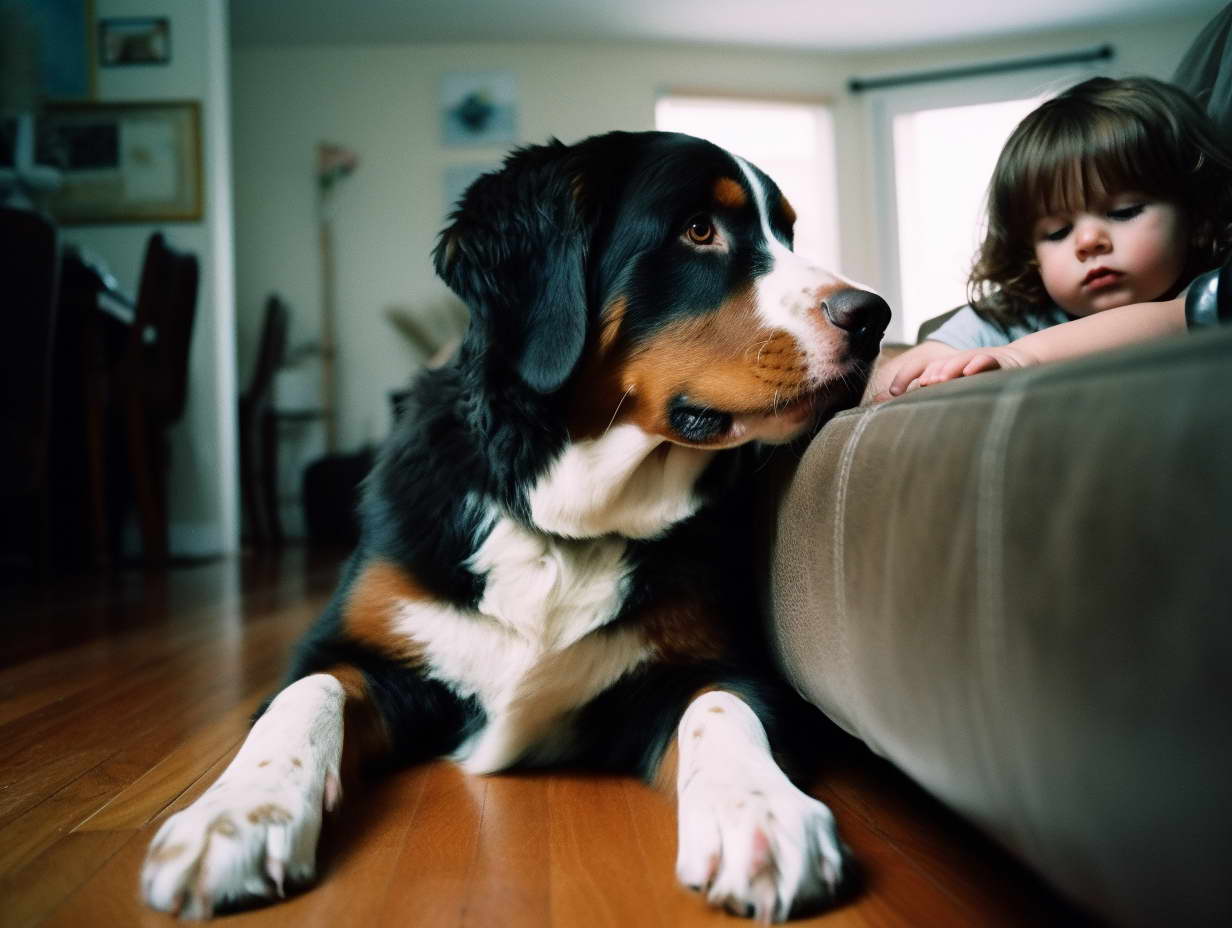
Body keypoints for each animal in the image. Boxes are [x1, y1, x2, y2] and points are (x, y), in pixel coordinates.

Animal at [141, 130, 887, 921]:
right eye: (697, 230)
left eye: (789, 235)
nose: (874, 316)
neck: (561, 519)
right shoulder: (352, 647)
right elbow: (304, 697)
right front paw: (234, 815)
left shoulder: (715, 660)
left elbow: (720, 707)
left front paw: (763, 812)